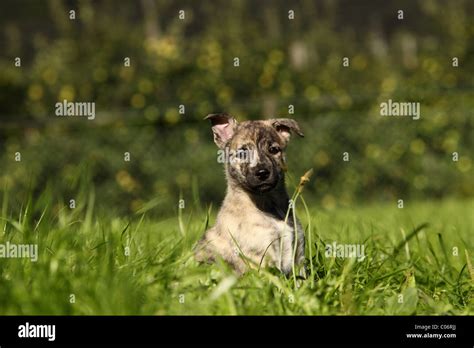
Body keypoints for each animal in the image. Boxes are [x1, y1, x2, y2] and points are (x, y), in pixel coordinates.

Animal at [195, 113, 304, 276]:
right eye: (242, 153)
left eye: (273, 149)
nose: (262, 173)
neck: (268, 204)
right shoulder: (261, 259)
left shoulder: (299, 255)